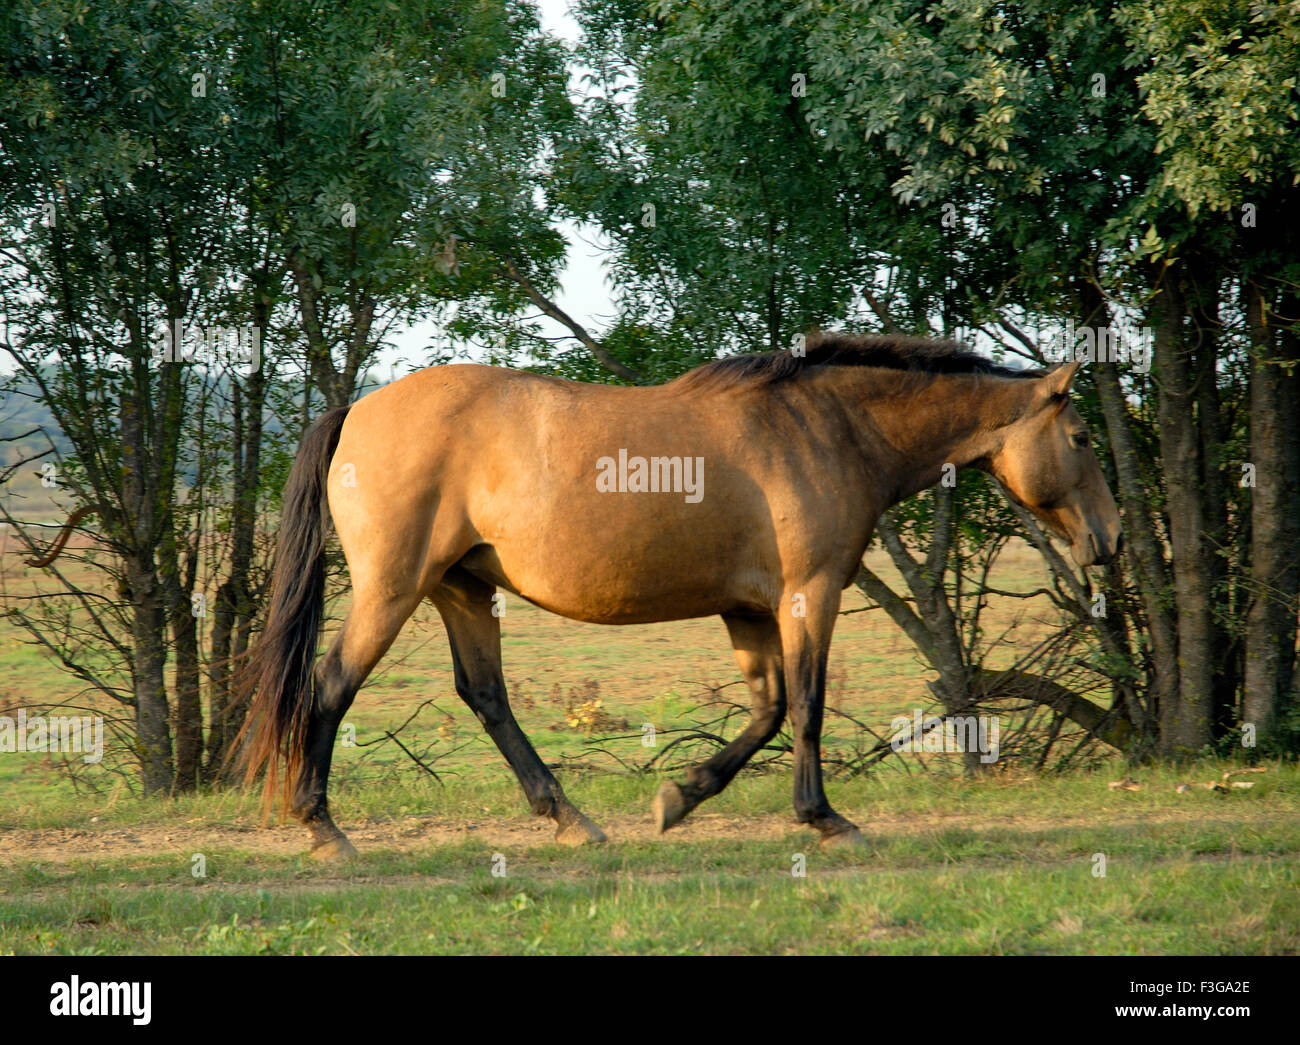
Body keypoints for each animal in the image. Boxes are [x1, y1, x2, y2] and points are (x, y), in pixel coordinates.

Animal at [239, 335, 1123, 857]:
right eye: (1082, 438)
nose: (1110, 538)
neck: (826, 427)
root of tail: (357, 410)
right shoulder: (808, 595)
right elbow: (807, 706)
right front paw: (823, 817)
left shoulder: (750, 610)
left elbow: (768, 711)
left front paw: (680, 796)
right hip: (394, 588)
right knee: (330, 687)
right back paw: (323, 827)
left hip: (463, 587)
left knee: (485, 696)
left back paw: (569, 816)